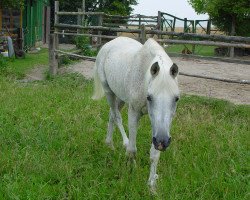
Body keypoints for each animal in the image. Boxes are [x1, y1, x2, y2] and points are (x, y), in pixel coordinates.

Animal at [92, 36, 180, 191]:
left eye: (176, 98)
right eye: (149, 97)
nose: (162, 142)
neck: (144, 79)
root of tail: (109, 43)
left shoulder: (160, 126)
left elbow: (154, 155)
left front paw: (152, 185)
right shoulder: (134, 112)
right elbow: (132, 149)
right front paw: (131, 170)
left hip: (120, 96)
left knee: (111, 115)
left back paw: (109, 144)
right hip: (109, 92)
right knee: (116, 117)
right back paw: (122, 143)